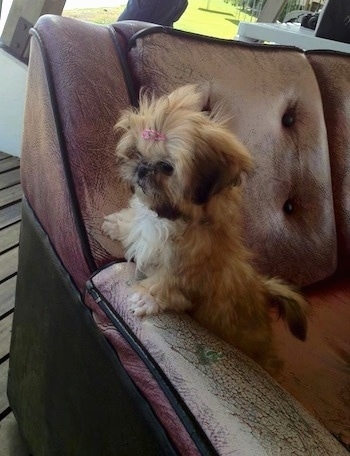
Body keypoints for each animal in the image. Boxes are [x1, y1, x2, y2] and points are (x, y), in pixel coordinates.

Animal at [102, 83, 308, 376]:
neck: (171, 219)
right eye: (137, 154)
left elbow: (168, 282)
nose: (141, 169)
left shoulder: (188, 270)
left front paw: (148, 296)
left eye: (166, 167)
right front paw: (120, 224)